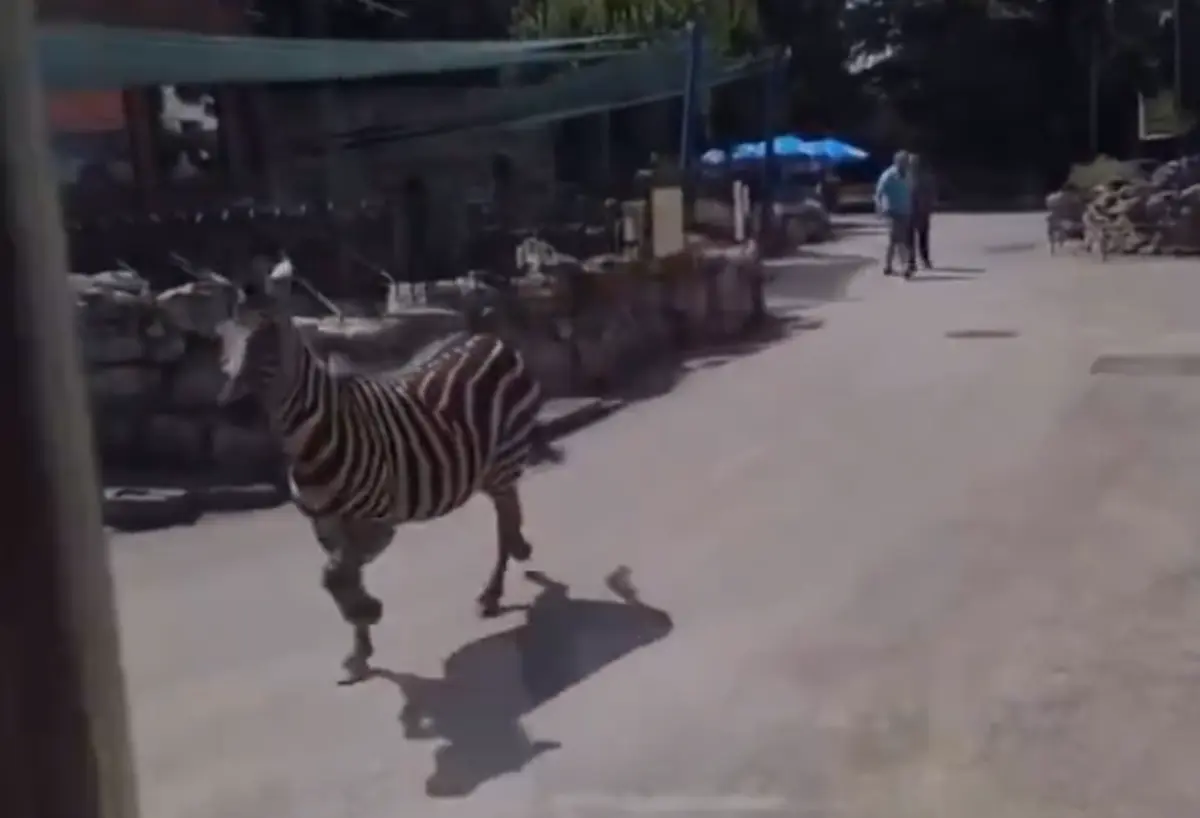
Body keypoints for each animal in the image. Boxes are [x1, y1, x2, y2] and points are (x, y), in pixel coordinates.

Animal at [215, 256, 556, 685]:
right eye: (223, 337)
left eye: (267, 333)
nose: (228, 409)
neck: (311, 439)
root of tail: (488, 338)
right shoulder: (326, 527)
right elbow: (338, 576)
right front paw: (360, 651)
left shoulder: (377, 523)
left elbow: (335, 576)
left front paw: (368, 611)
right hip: (489, 468)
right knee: (508, 511)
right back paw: (517, 553)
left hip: (503, 459)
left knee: (504, 517)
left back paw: (493, 592)